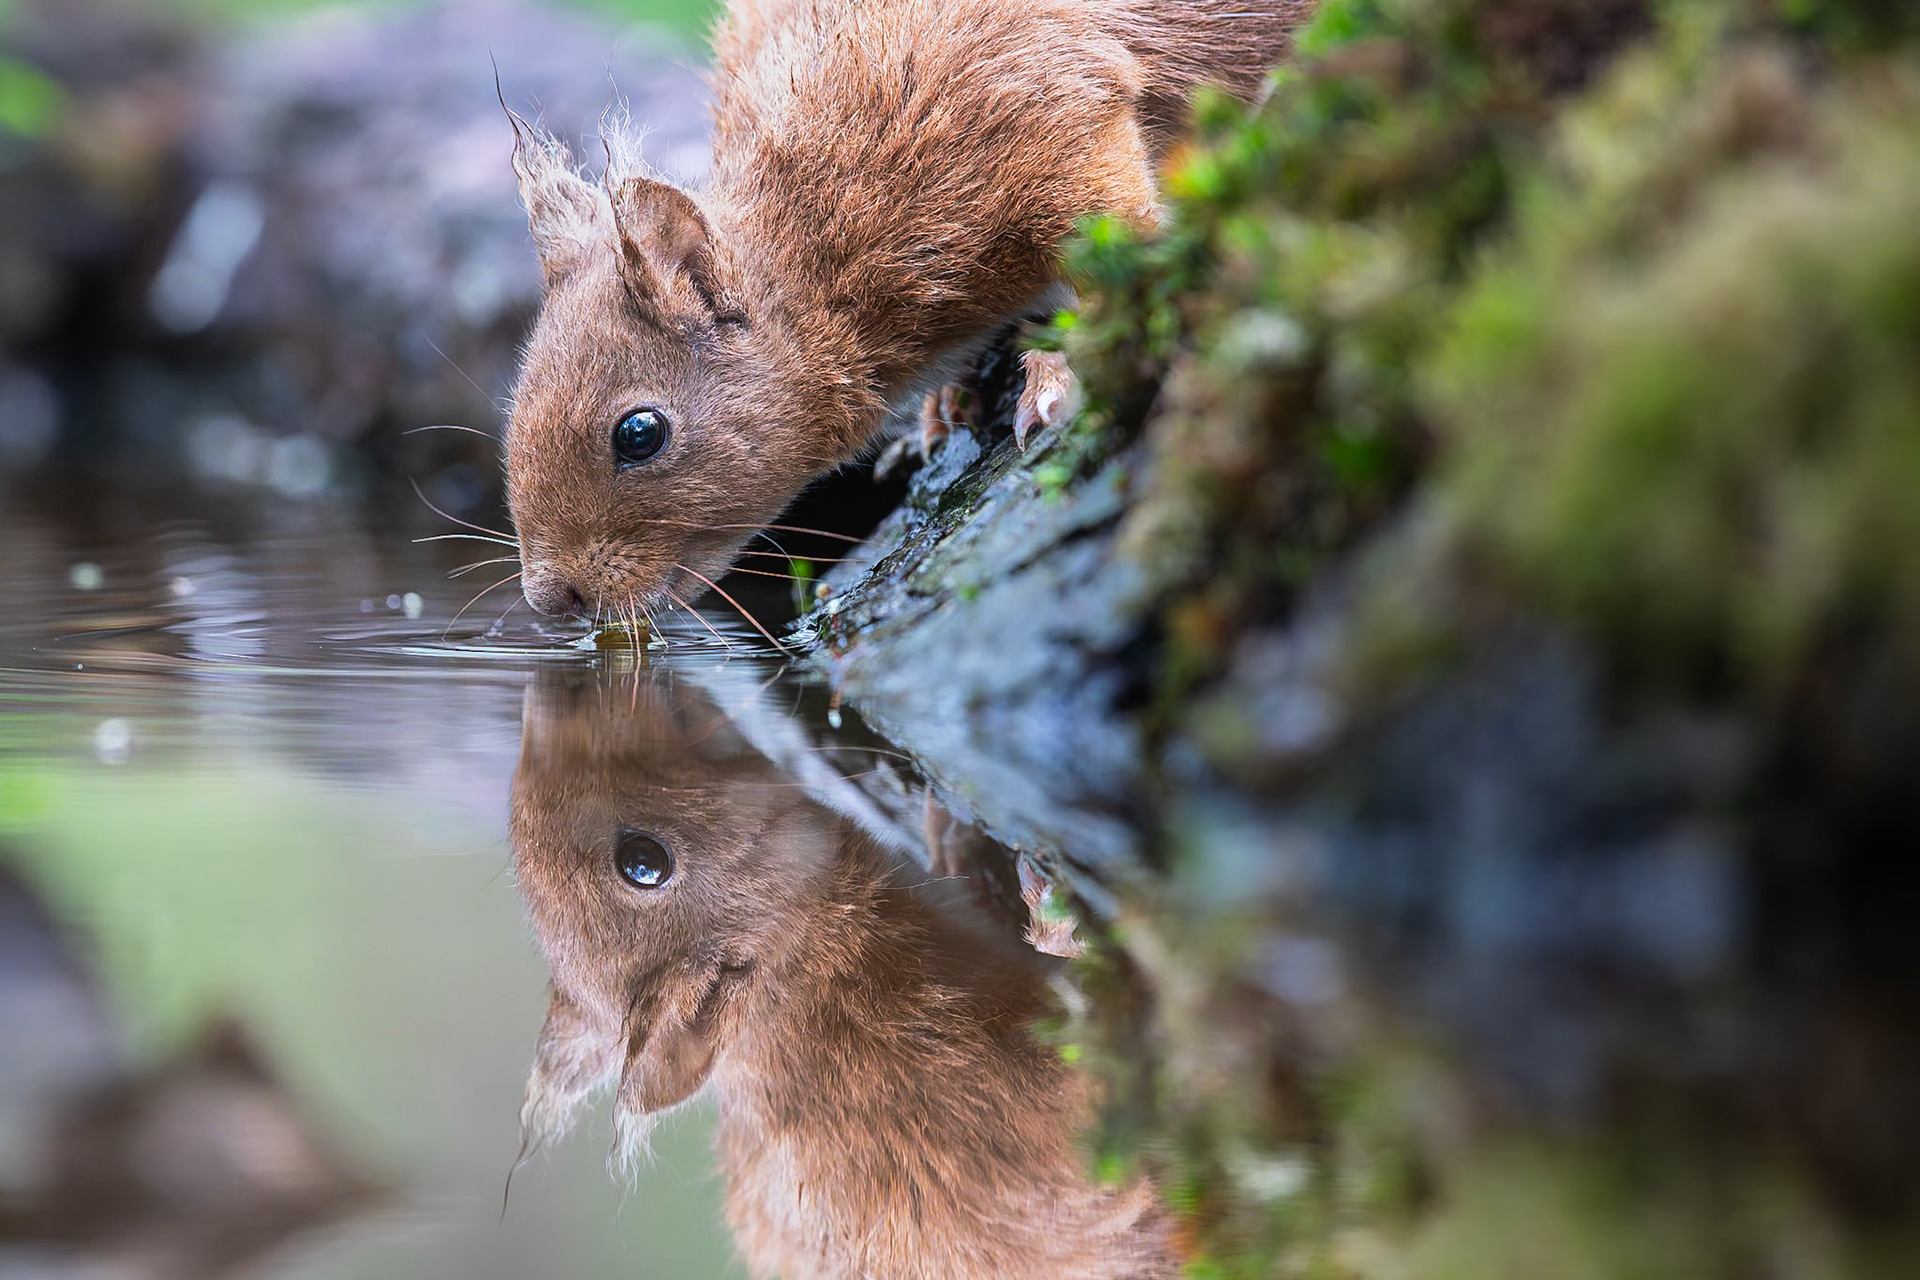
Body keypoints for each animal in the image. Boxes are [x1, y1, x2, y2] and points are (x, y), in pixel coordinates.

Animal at [502, 0, 1309, 619]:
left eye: (639, 433)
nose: (551, 601)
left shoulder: (1051, 110)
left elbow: (1118, 239)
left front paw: (1061, 370)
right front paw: (946, 399)